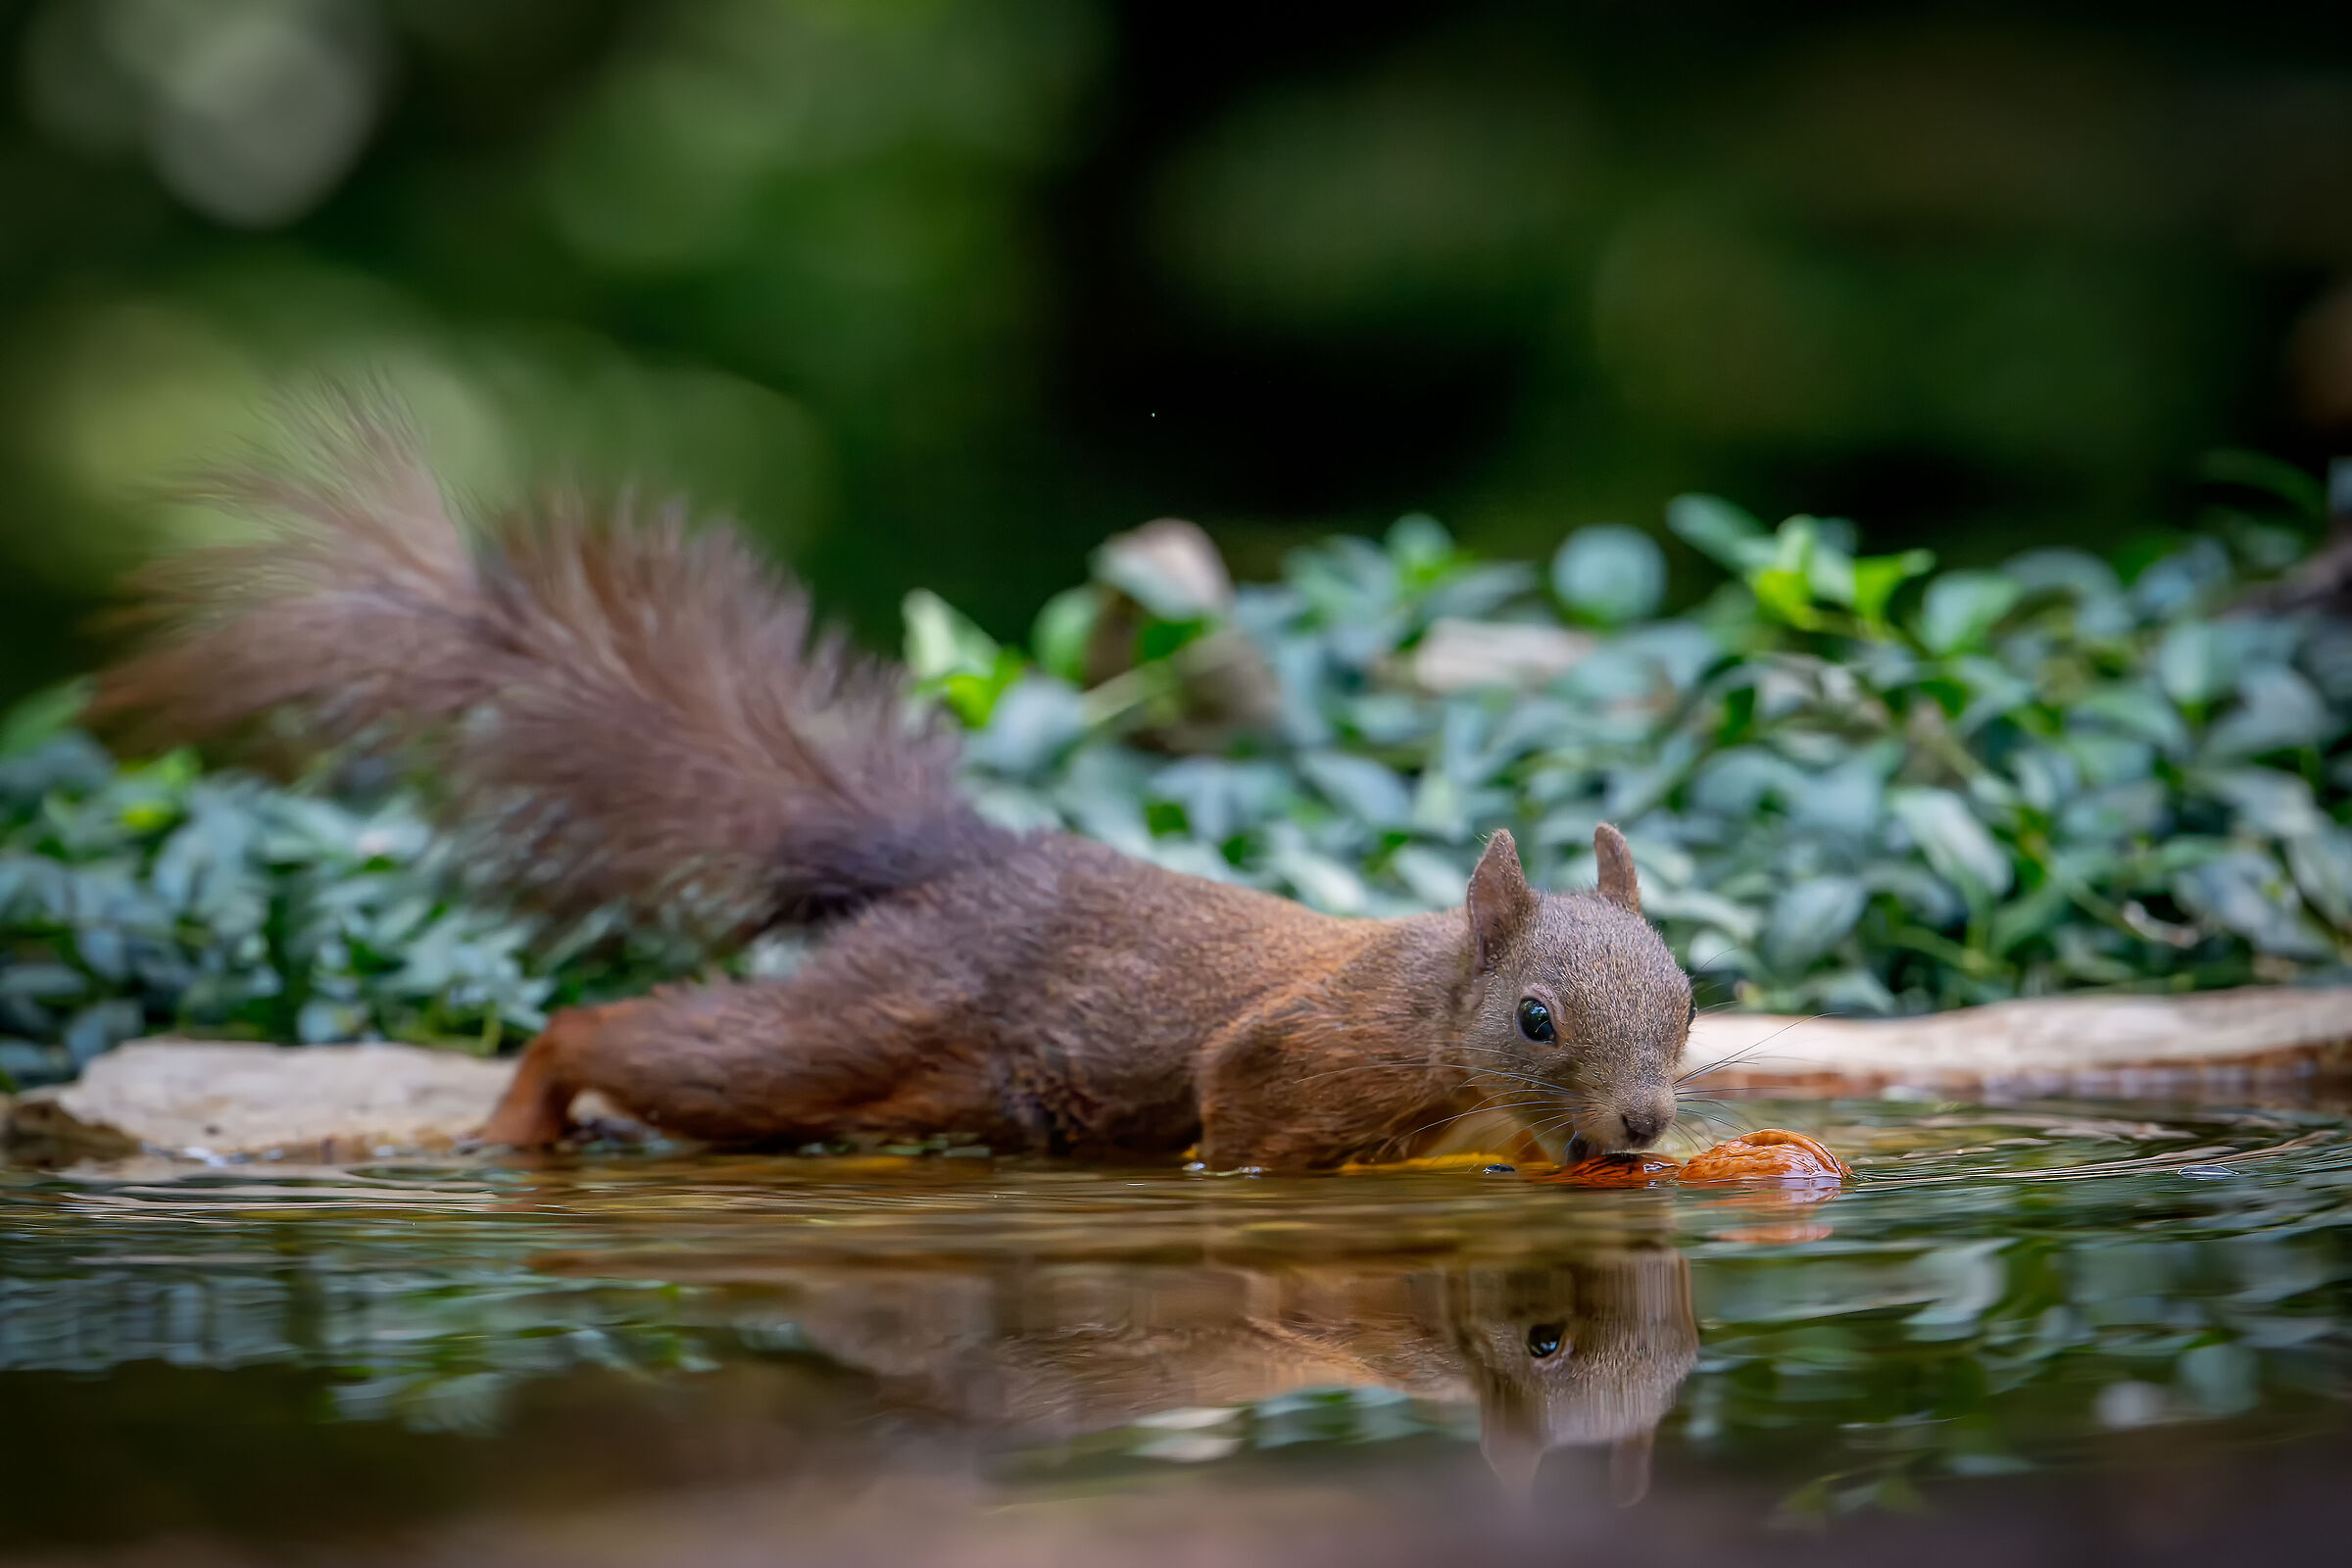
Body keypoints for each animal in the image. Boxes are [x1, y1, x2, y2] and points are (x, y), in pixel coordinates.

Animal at [91, 399, 1695, 1170]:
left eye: (1691, 1003)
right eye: (1535, 1016)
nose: (1642, 1125)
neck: (1433, 1009)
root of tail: (958, 868)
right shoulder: (1280, 1060)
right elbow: (1238, 1132)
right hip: (863, 1023)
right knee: (635, 1036)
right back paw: (523, 1113)